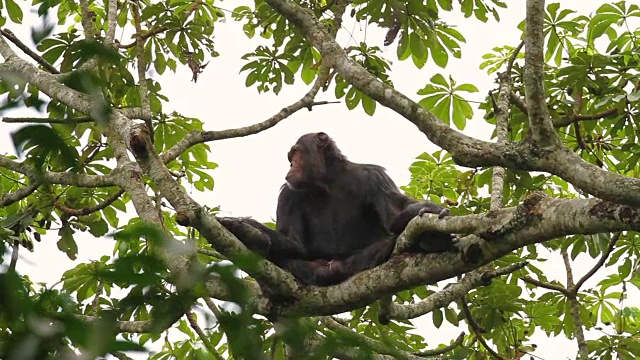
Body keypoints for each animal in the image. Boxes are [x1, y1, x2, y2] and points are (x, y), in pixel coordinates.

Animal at [218, 131, 458, 286]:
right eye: (290, 157)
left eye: (296, 153)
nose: (291, 165)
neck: (327, 180)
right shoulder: (287, 195)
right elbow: (294, 243)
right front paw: (241, 226)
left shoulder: (375, 177)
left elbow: (395, 216)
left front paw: (428, 210)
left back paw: (432, 240)